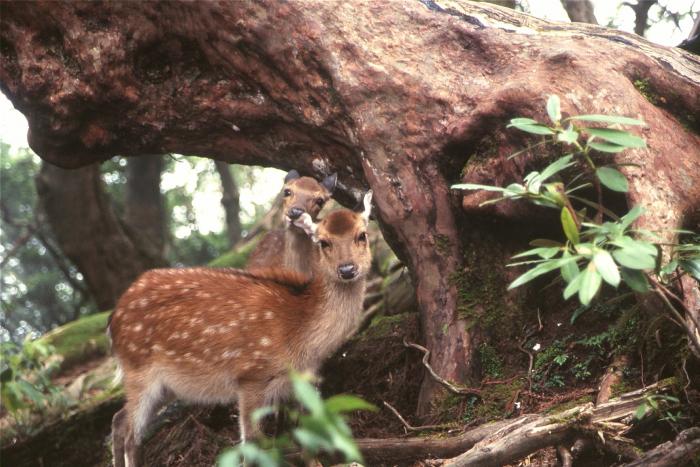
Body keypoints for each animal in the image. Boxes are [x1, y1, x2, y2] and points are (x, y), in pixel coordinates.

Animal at [109, 191, 372, 467]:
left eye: (362, 235)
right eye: (323, 242)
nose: (347, 269)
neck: (299, 334)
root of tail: (113, 318)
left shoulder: (301, 379)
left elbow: (305, 432)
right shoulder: (250, 376)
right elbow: (252, 442)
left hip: (166, 385)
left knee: (119, 419)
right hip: (139, 370)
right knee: (131, 434)